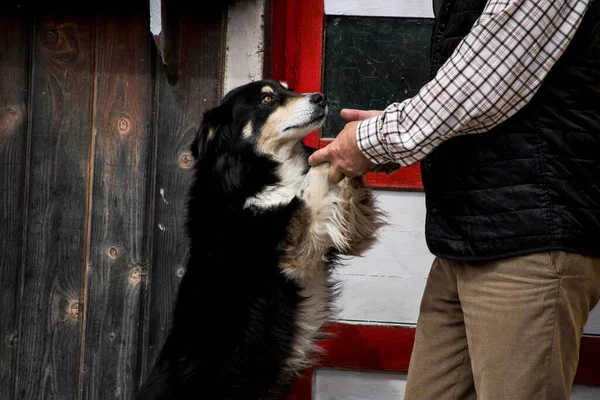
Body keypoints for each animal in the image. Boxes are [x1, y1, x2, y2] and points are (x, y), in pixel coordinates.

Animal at [137, 79, 384, 398]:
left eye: (288, 90)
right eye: (267, 99)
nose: (321, 98)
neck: (255, 171)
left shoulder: (344, 236)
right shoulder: (289, 243)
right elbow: (310, 184)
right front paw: (335, 151)